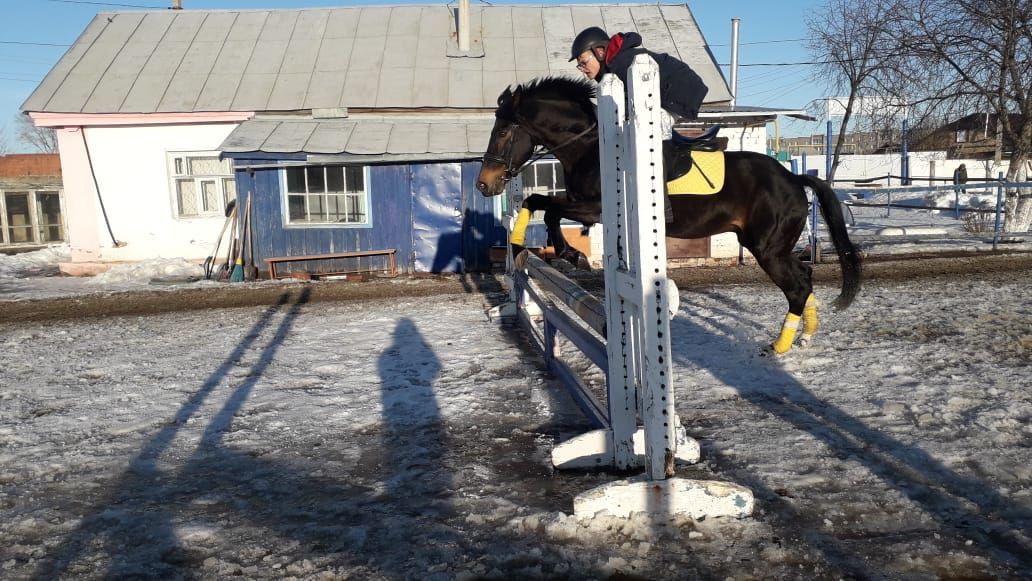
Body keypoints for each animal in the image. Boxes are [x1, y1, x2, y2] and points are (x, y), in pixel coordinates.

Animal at [474, 74, 862, 352]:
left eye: (503, 131)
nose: (483, 184)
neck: (589, 147)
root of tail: (792, 177)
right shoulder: (584, 207)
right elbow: (540, 203)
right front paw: (552, 249)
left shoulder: (594, 209)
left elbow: (545, 207)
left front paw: (567, 253)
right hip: (774, 247)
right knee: (805, 277)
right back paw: (805, 335)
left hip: (767, 248)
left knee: (796, 287)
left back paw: (779, 346)